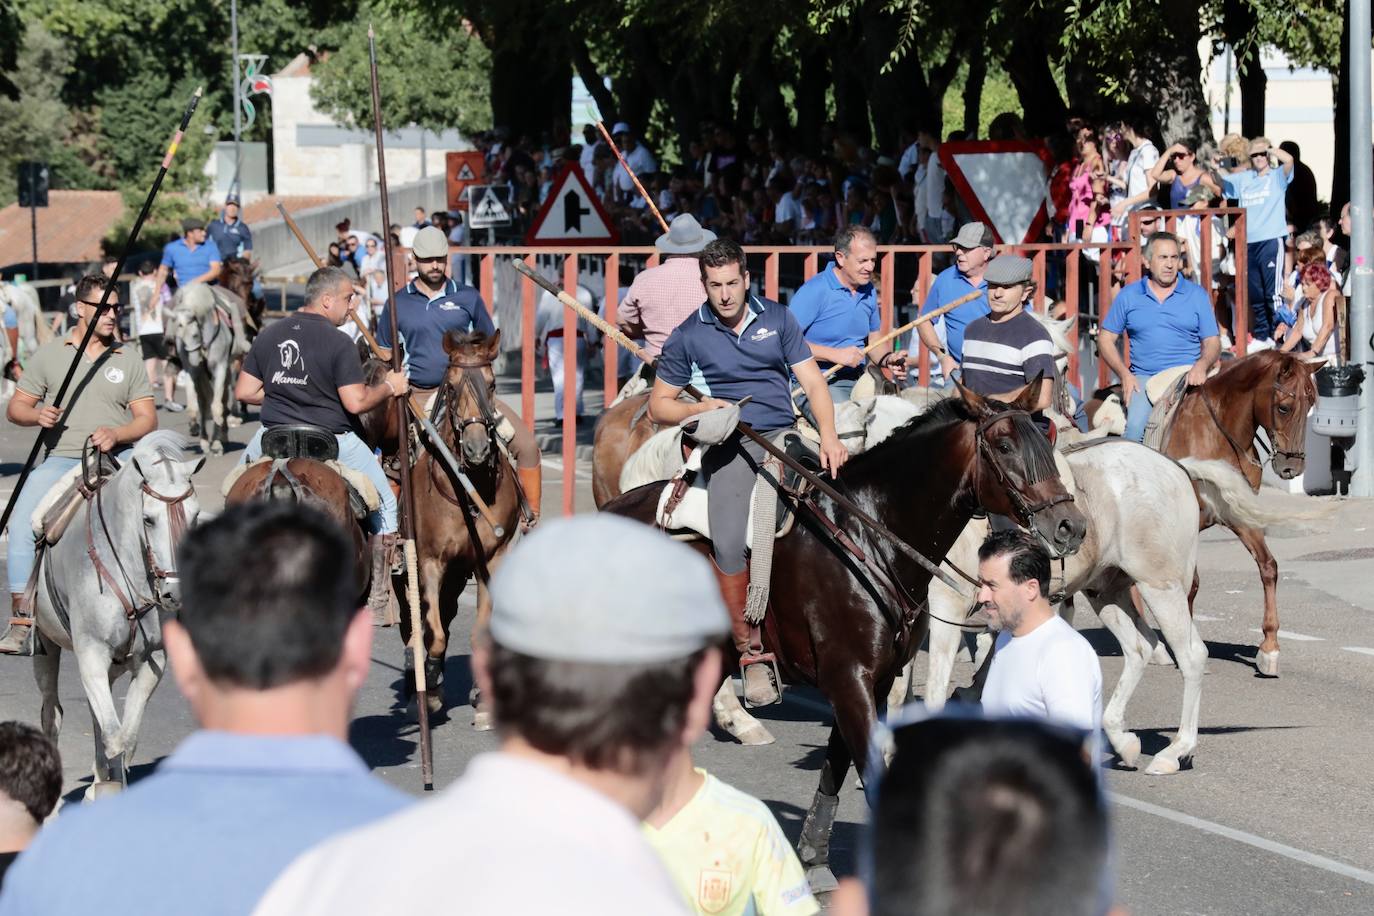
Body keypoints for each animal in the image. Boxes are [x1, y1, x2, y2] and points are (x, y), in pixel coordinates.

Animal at [32, 431, 203, 796]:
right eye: (148, 519)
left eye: (195, 515)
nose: (175, 592)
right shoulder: (91, 653)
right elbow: (114, 737)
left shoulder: (152, 660)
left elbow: (127, 738)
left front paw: (107, 781)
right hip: (46, 645)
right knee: (52, 713)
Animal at [167, 287, 237, 455]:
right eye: (179, 337)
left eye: (194, 335)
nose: (195, 361)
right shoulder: (191, 372)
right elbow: (195, 406)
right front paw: (194, 426)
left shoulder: (220, 368)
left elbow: (217, 406)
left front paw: (217, 441)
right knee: (204, 404)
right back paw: (205, 441)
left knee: (221, 401)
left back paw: (220, 438)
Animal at [401, 329, 524, 725]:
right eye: (452, 387)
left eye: (493, 383)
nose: (476, 449)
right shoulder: (429, 561)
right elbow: (435, 632)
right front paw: (430, 681)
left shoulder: (490, 559)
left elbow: (479, 632)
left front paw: (483, 700)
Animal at [601, 381, 1082, 889]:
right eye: (1005, 446)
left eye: (1046, 440)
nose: (1071, 526)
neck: (870, 536)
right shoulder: (848, 678)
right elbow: (870, 772)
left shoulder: (869, 679)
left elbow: (835, 764)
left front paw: (813, 857)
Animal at [1159, 348, 1330, 672]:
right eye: (1285, 408)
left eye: (1310, 405)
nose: (1292, 467)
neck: (1215, 435)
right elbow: (1191, 584)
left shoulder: (1239, 514)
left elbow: (1268, 567)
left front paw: (1269, 648)